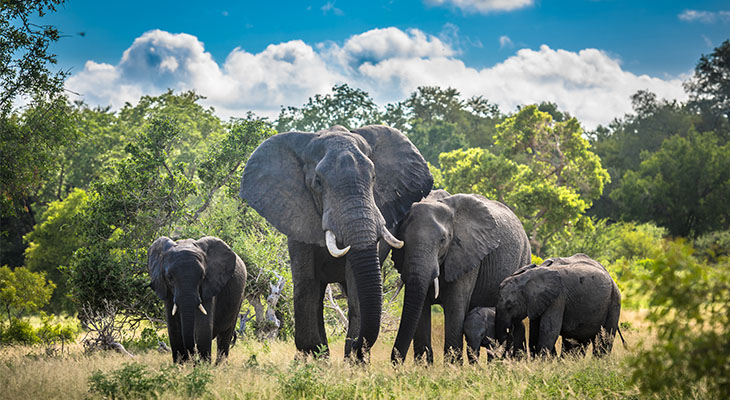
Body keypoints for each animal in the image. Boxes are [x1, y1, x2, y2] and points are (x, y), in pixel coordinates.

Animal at [146, 236, 246, 364]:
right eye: (169, 277)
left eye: (202, 276)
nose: (193, 361)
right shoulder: (166, 290)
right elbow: (174, 328)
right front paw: (180, 366)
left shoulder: (210, 285)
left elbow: (203, 328)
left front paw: (203, 366)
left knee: (225, 335)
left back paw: (219, 366)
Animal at [239, 126, 432, 362]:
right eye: (318, 182)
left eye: (374, 177)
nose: (358, 345)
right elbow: (306, 284)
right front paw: (315, 359)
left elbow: (357, 286)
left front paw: (354, 361)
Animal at [390, 192, 532, 364]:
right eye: (403, 239)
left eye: (443, 240)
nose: (396, 362)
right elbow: (422, 308)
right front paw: (424, 366)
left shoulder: (467, 253)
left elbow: (455, 305)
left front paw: (452, 366)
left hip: (523, 258)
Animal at [494, 253, 624, 356]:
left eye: (510, 306)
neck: (528, 275)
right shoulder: (537, 302)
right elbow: (535, 333)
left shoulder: (558, 298)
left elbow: (548, 331)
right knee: (575, 343)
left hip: (614, 301)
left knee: (604, 340)